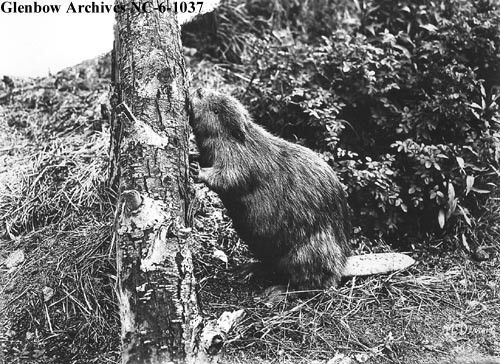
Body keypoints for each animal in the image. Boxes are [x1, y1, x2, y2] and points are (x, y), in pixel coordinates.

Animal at [188, 86, 352, 288]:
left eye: (216, 111)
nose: (199, 90)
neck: (241, 140)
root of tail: (344, 264)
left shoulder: (245, 160)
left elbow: (230, 178)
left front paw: (197, 170)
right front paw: (192, 156)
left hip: (311, 251)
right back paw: (248, 269)